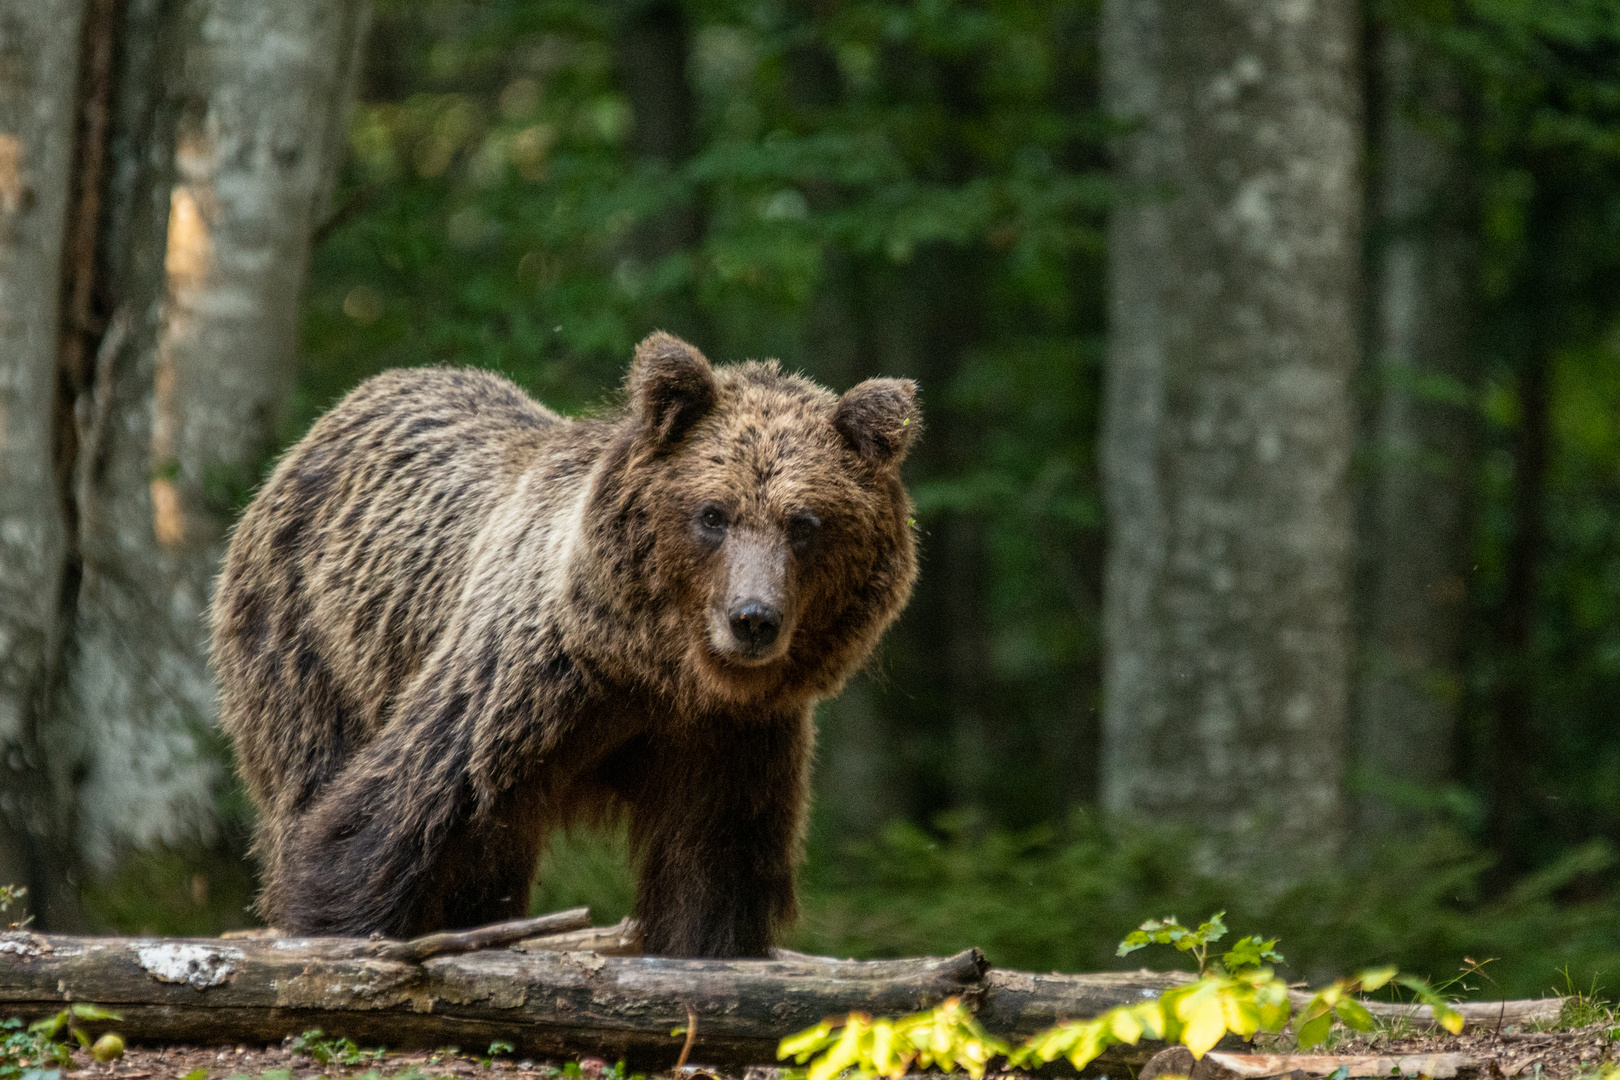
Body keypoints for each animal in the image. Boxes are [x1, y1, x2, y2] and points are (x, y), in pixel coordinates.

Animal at [208, 333, 920, 958]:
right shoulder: (528, 682)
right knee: (311, 768)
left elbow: (714, 872)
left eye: (805, 524)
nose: (753, 619)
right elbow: (384, 819)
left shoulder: (730, 738)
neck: (659, 671)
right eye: (713, 514)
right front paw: (338, 931)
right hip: (308, 640)